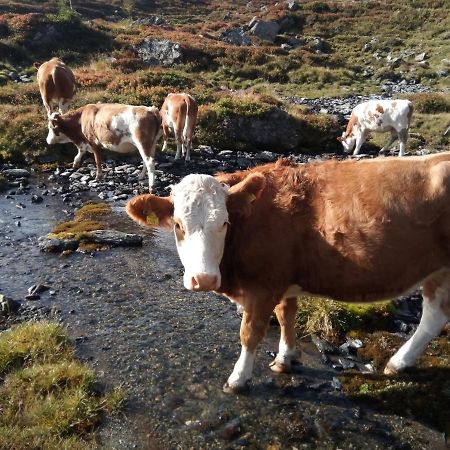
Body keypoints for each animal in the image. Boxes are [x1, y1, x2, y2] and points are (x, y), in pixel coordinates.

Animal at [125, 155, 450, 394]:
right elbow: (286, 316)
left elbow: (250, 333)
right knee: (435, 316)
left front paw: (239, 378)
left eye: (225, 223)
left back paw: (398, 361)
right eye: (179, 225)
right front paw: (285, 357)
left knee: (432, 316)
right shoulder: (283, 282)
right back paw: (401, 362)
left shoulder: (262, 287)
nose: (204, 279)